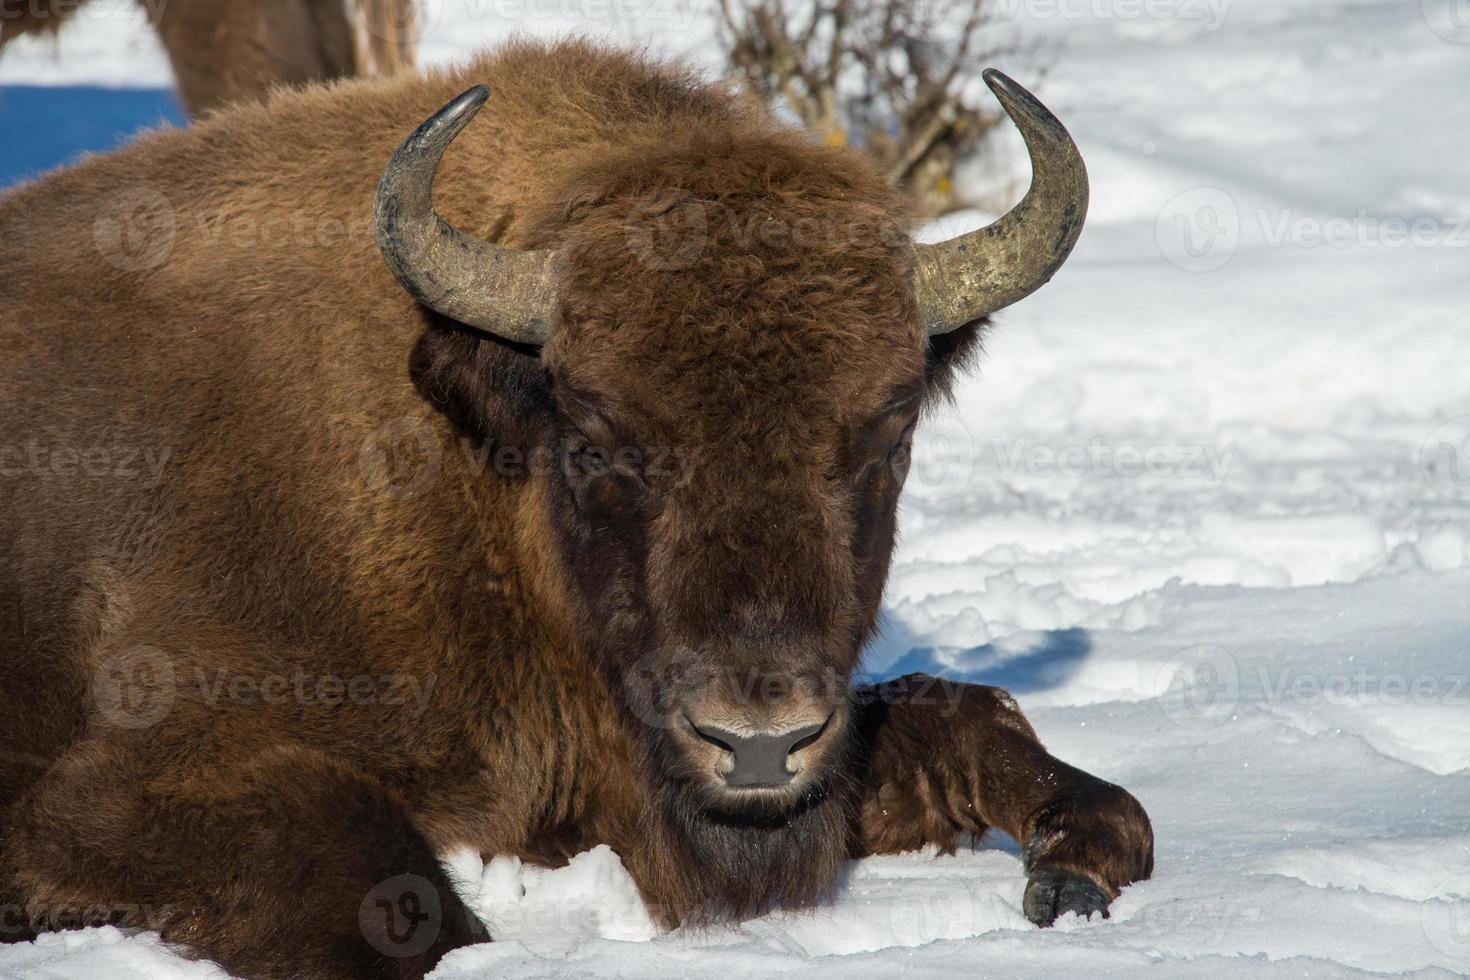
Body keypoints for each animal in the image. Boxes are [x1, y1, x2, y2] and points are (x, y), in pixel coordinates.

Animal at [0, 40, 1146, 980]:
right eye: (594, 438)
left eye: (890, 435)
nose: (757, 743)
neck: (476, 462)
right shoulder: (135, 780)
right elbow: (399, 902)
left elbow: (1004, 735)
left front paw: (1070, 873)